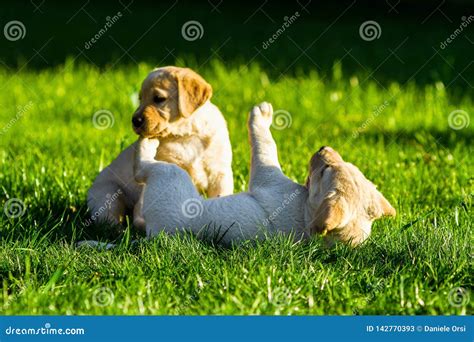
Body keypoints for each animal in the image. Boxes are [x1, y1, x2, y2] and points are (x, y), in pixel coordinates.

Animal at [87, 66, 233, 228]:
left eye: (158, 99)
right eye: (140, 99)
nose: (135, 121)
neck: (186, 134)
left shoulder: (219, 172)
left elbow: (221, 194)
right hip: (107, 194)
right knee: (111, 218)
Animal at [135, 101, 394, 246]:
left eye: (325, 170)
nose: (323, 148)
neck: (305, 211)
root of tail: (153, 232)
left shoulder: (269, 179)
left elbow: (265, 146)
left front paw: (261, 115)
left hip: (169, 176)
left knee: (143, 168)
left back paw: (148, 143)